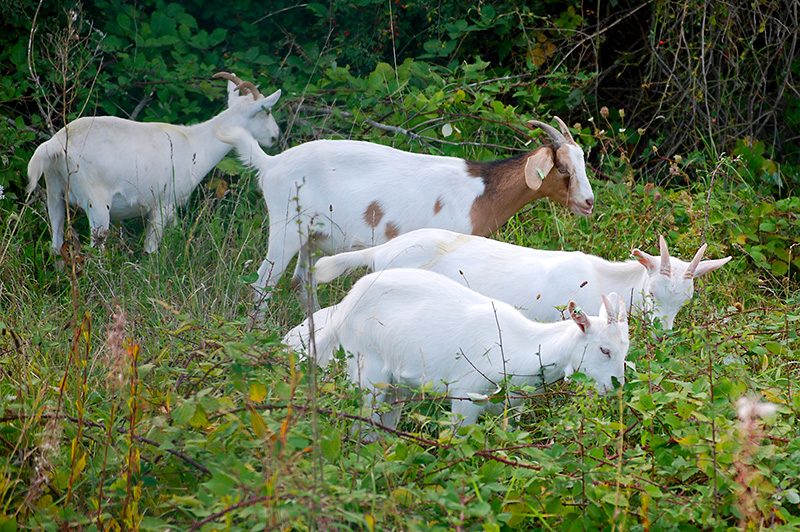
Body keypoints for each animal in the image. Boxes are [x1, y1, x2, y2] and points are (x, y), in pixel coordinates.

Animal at [27, 72, 282, 254]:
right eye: (266, 111)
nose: (276, 135)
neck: (195, 144)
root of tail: (55, 144)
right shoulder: (163, 203)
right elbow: (150, 251)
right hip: (96, 203)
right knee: (95, 250)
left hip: (54, 193)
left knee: (55, 245)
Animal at [212, 114, 592, 310]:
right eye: (562, 169)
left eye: (583, 163)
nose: (588, 203)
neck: (480, 192)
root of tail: (270, 163)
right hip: (286, 229)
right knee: (263, 284)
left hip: (312, 237)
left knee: (303, 283)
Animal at [284, 268, 628, 438]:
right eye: (604, 349)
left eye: (626, 351)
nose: (617, 386)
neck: (520, 346)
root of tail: (348, 302)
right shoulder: (467, 397)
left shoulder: (509, 408)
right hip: (367, 368)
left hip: (395, 386)